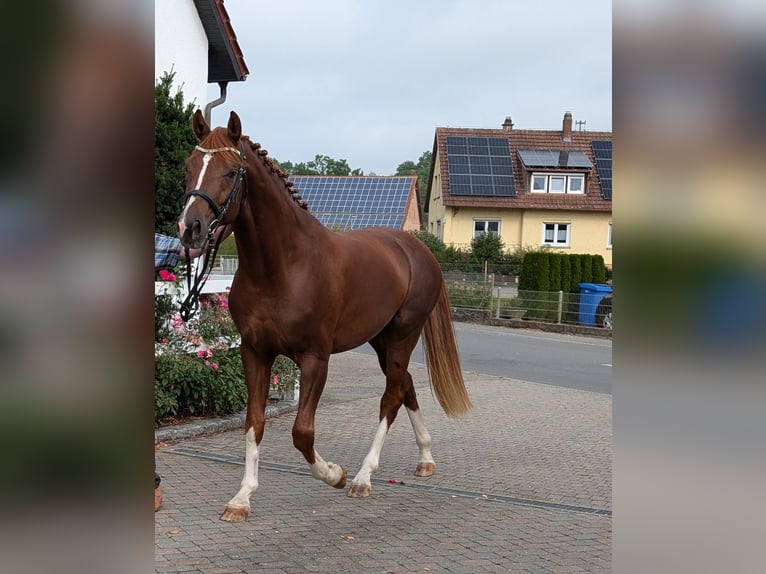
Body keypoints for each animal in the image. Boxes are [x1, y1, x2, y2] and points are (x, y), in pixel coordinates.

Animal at [177, 110, 472, 522]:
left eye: (232, 172)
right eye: (190, 166)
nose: (190, 229)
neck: (283, 266)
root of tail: (418, 250)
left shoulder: (315, 359)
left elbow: (302, 432)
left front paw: (335, 474)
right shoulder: (255, 352)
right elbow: (254, 422)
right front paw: (242, 498)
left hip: (403, 336)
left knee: (391, 398)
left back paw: (363, 476)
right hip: (380, 340)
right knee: (407, 387)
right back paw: (425, 457)